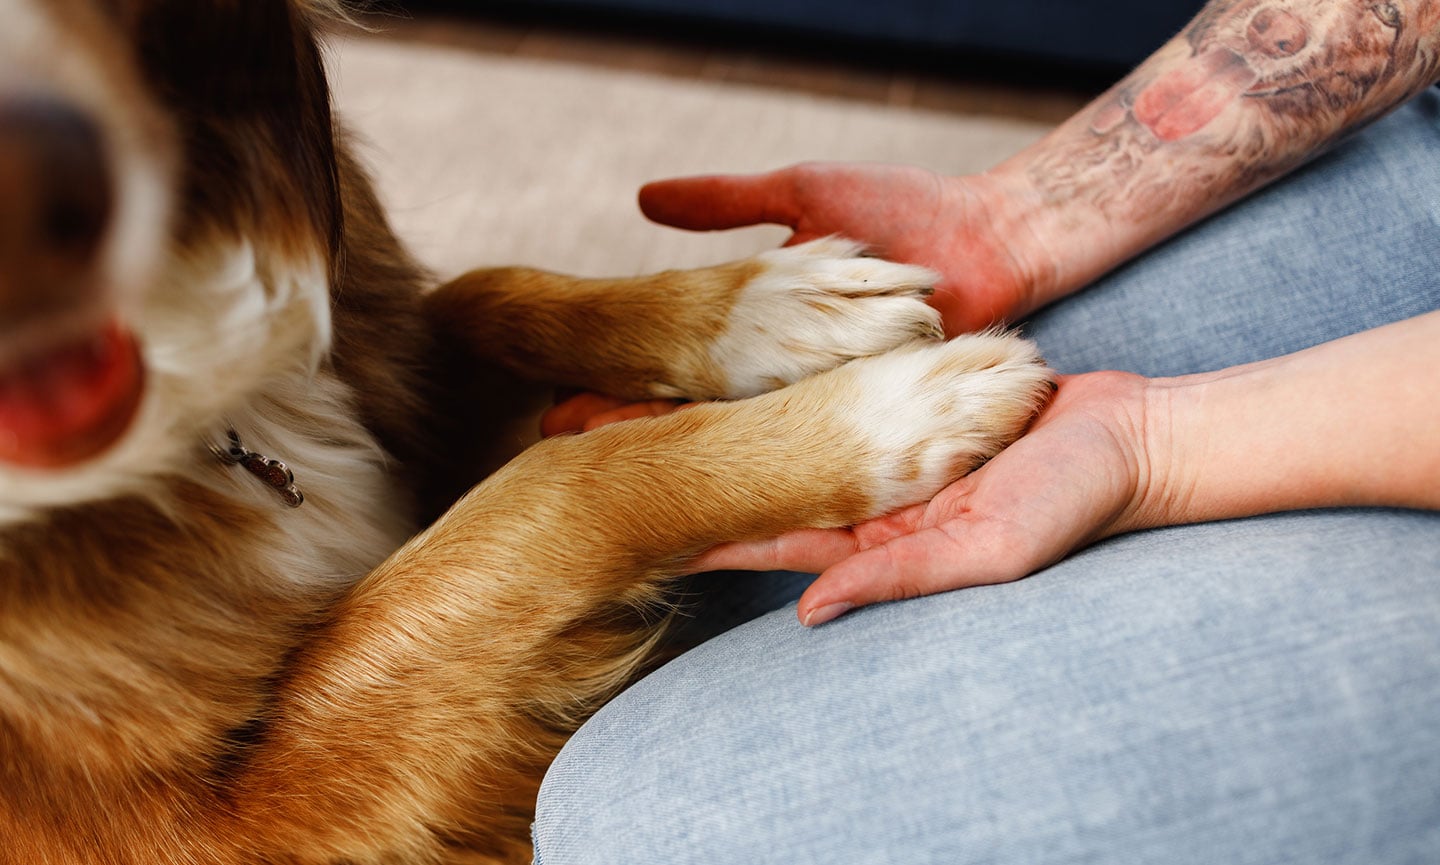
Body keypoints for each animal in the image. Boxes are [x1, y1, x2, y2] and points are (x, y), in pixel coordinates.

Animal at [0, 3, 1059, 857]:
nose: (36, 190)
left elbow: (487, 293)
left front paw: (769, 305)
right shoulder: (211, 824)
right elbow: (554, 483)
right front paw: (884, 415)